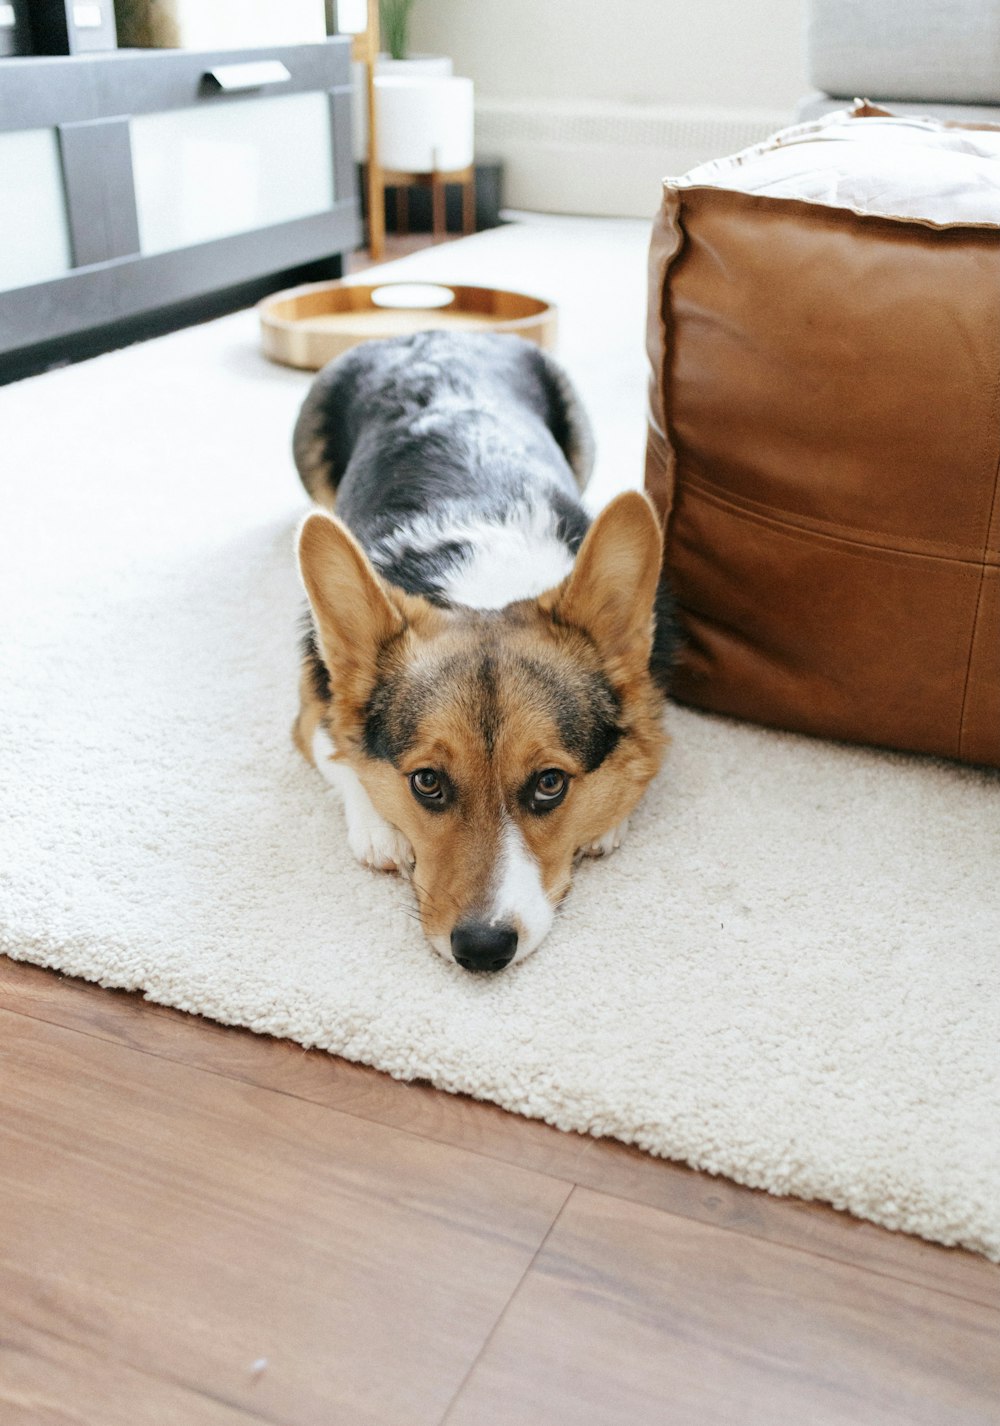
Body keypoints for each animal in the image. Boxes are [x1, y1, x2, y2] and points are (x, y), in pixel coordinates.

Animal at [292, 333, 676, 975]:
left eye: (550, 783)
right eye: (426, 782)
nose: (482, 950)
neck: (487, 584)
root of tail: (433, 331)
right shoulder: (310, 704)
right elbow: (337, 749)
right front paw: (380, 830)